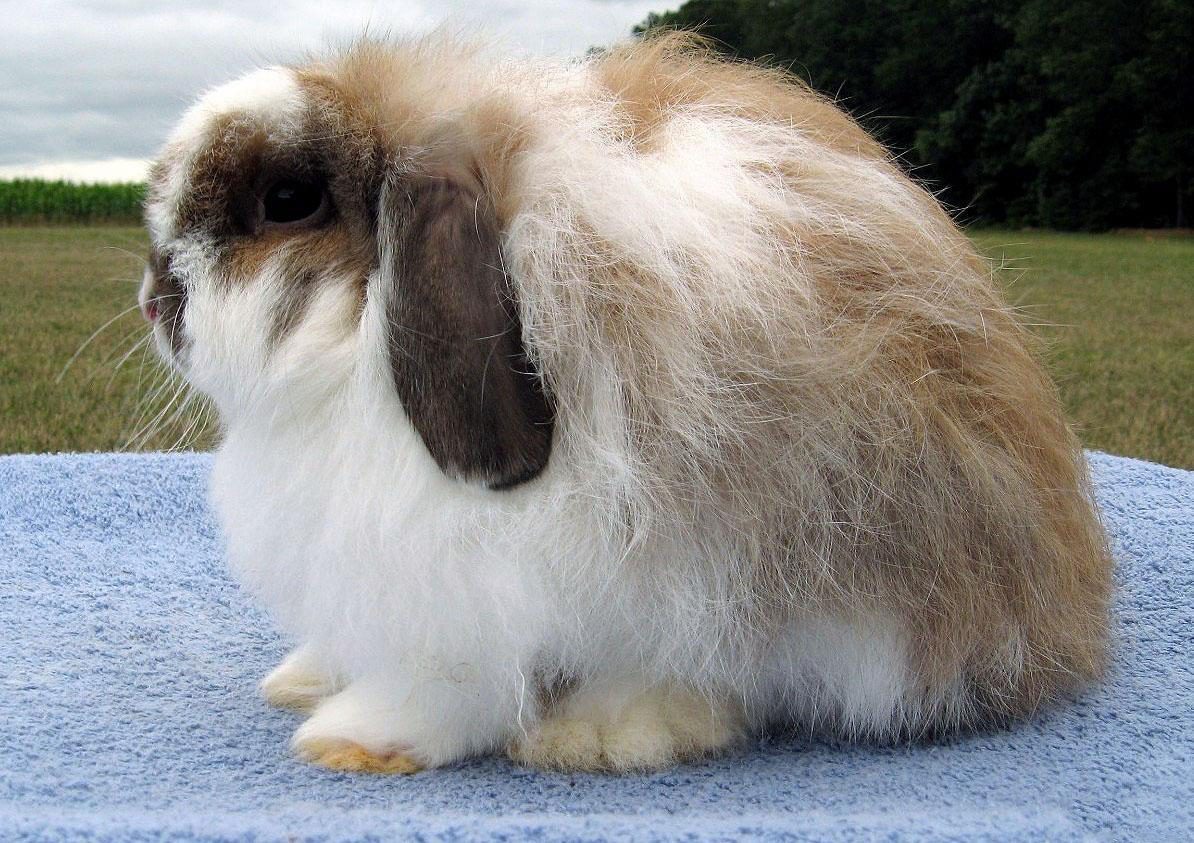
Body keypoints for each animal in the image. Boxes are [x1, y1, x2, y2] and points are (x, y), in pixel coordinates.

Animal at [139, 33, 1113, 774]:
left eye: (287, 200)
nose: (156, 299)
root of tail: (1051, 625)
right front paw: (304, 677)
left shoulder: (460, 590)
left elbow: (443, 684)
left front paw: (352, 737)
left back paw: (598, 731)